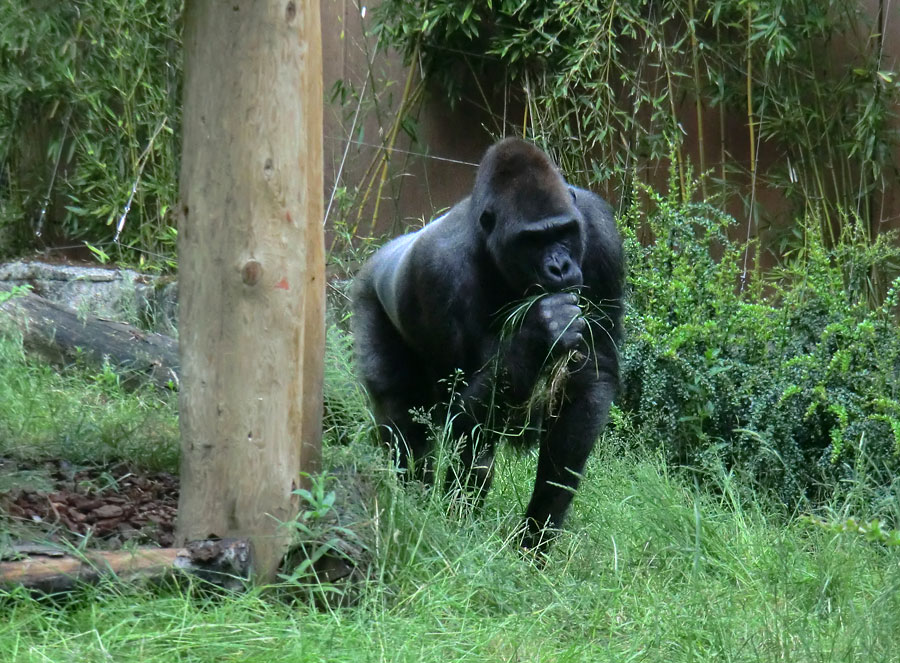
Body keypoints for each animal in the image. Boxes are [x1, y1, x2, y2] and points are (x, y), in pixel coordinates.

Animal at [352, 137, 624, 552]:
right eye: (532, 240)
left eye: (563, 232)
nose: (559, 267)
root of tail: (382, 253)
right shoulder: (439, 271)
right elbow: (461, 412)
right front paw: (542, 330)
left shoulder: (600, 229)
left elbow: (591, 378)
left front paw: (537, 534)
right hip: (367, 296)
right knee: (405, 420)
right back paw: (423, 514)